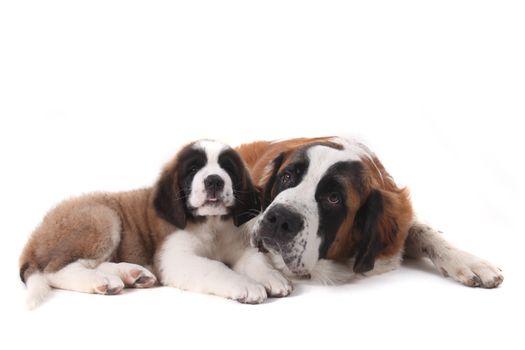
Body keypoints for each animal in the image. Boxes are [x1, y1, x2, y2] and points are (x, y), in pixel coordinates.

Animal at [19, 138, 290, 308]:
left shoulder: (238, 244)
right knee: (53, 270)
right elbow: (216, 268)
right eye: (193, 170)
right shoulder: (176, 258)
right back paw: (101, 281)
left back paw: (131, 274)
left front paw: (272, 278)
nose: (214, 180)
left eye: (228, 169)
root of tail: (35, 234)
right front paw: (246, 285)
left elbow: (255, 261)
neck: (211, 223)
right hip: (102, 218)